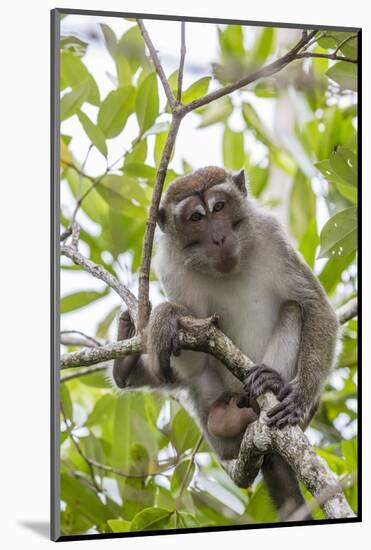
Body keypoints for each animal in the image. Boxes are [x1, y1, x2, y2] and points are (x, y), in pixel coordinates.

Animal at [111, 168, 340, 520]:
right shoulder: (170, 267)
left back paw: (267, 389)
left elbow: (315, 307)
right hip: (210, 410)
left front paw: (299, 396)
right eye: (196, 217)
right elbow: (193, 339)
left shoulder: (271, 235)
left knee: (293, 309)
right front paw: (167, 316)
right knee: (190, 371)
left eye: (219, 207)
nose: (219, 237)